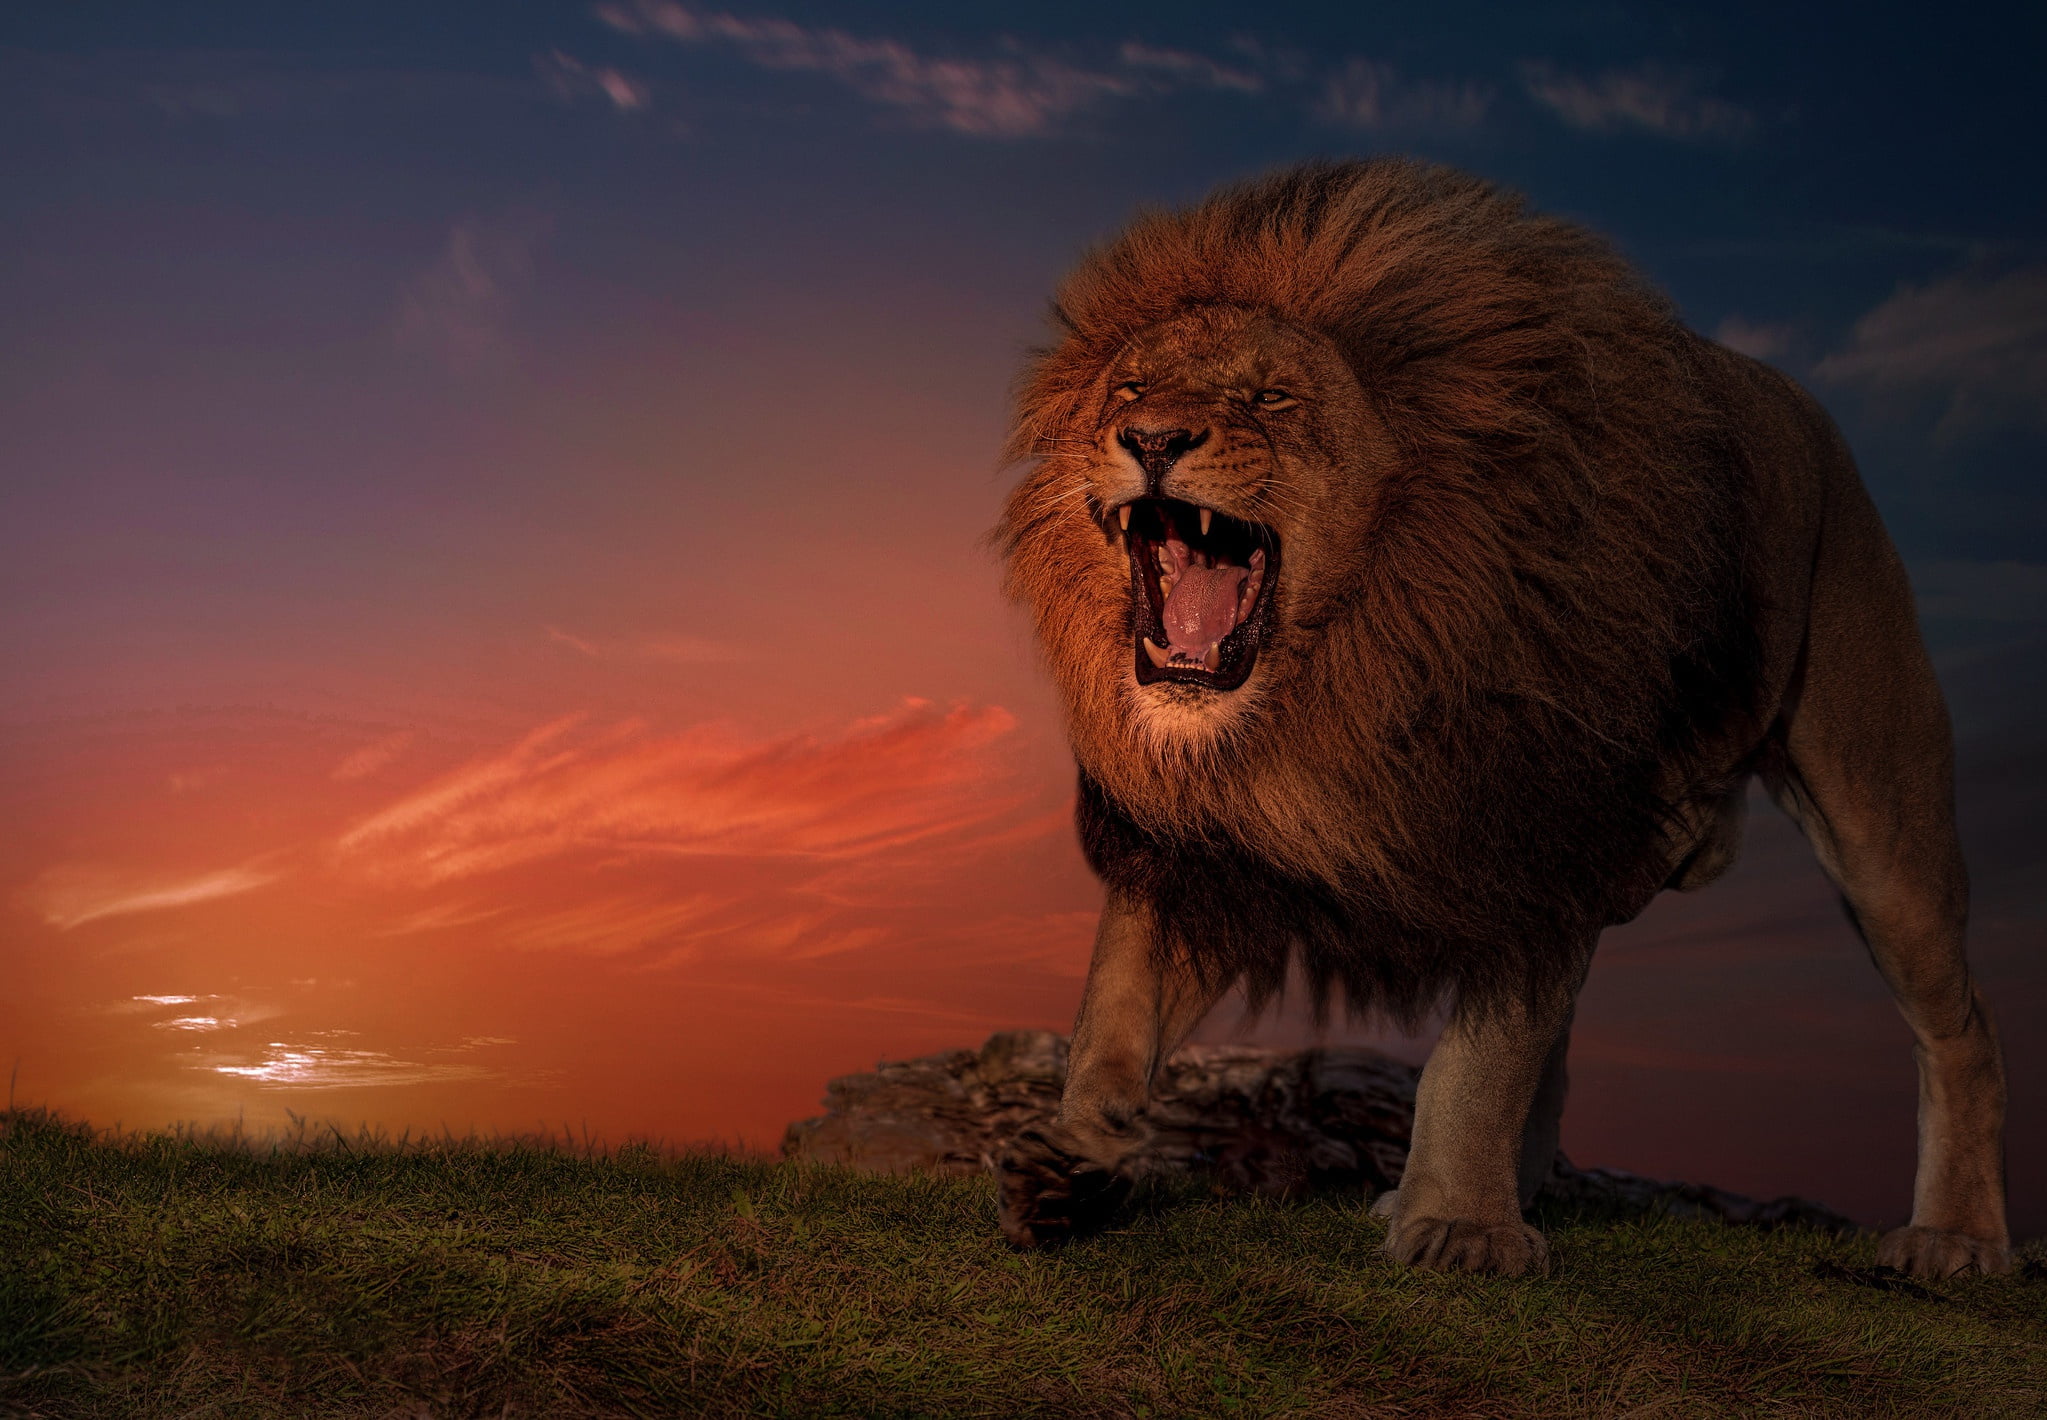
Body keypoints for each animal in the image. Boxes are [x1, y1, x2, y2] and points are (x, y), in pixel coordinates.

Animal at [993, 159, 2009, 1278]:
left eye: (1272, 397)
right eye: (1130, 389)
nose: (1152, 439)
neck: (1338, 673)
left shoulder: (1526, 809)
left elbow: (1487, 1054)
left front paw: (1460, 1226)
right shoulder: (1201, 838)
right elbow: (1115, 1019)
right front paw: (1075, 1160)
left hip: (1876, 808)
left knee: (1961, 1026)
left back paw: (1956, 1240)